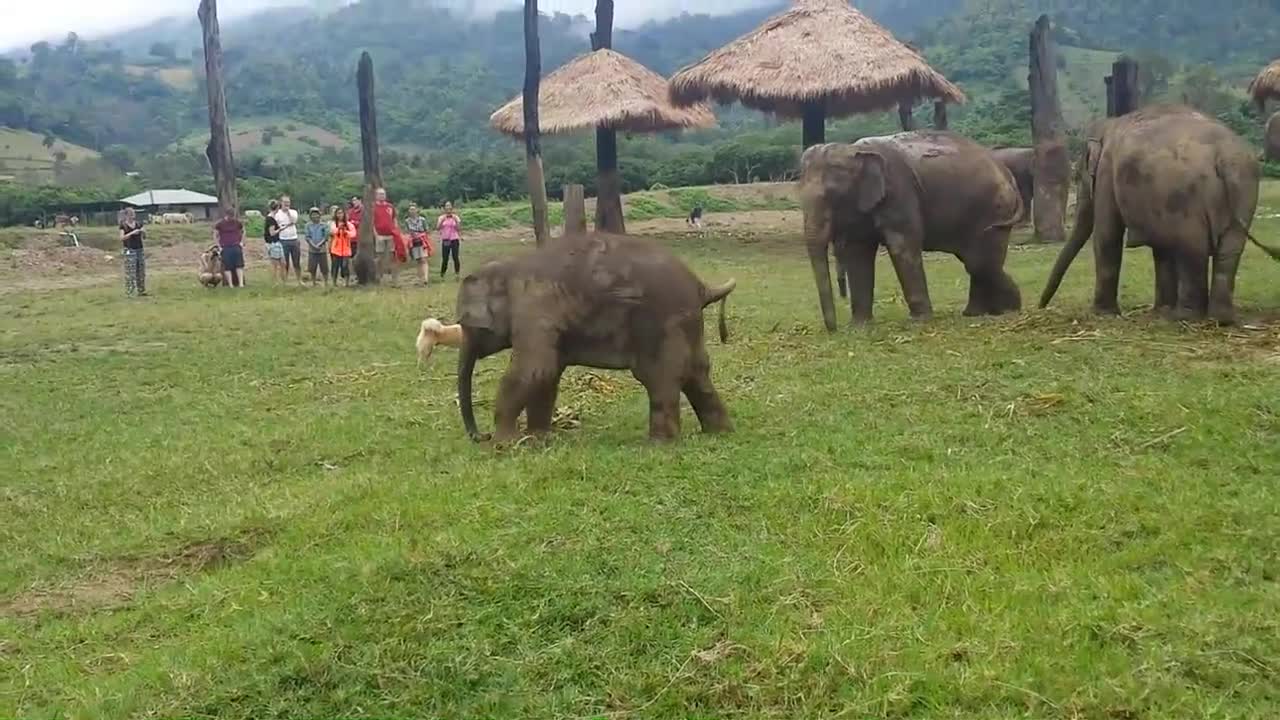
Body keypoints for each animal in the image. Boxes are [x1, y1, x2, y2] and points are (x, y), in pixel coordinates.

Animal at [458, 233, 742, 440]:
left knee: (661, 377)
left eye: (464, 322)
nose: (481, 436)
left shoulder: (535, 314)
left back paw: (659, 444)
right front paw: (537, 439)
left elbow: (533, 371)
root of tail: (700, 286)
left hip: (662, 325)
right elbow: (547, 375)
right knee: (697, 373)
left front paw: (503, 444)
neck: (509, 266)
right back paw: (719, 433)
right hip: (686, 325)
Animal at [798, 131, 1018, 327]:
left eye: (832, 196)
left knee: (980, 262)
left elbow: (902, 246)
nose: (834, 329)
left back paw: (1007, 310)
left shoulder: (899, 192)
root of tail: (1006, 172)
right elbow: (857, 253)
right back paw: (981, 313)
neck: (854, 149)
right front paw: (859, 326)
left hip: (995, 210)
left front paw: (919, 322)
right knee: (977, 262)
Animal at [1034, 104, 1274, 322]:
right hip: (1244, 187)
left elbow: (1107, 235)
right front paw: (1160, 310)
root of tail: (1223, 156)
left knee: (1192, 248)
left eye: (1077, 177)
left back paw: (1185, 317)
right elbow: (1161, 247)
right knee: (1229, 250)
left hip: (1185, 196)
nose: (1040, 306)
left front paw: (1103, 314)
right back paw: (1220, 318)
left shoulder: (1106, 174)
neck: (1107, 126)